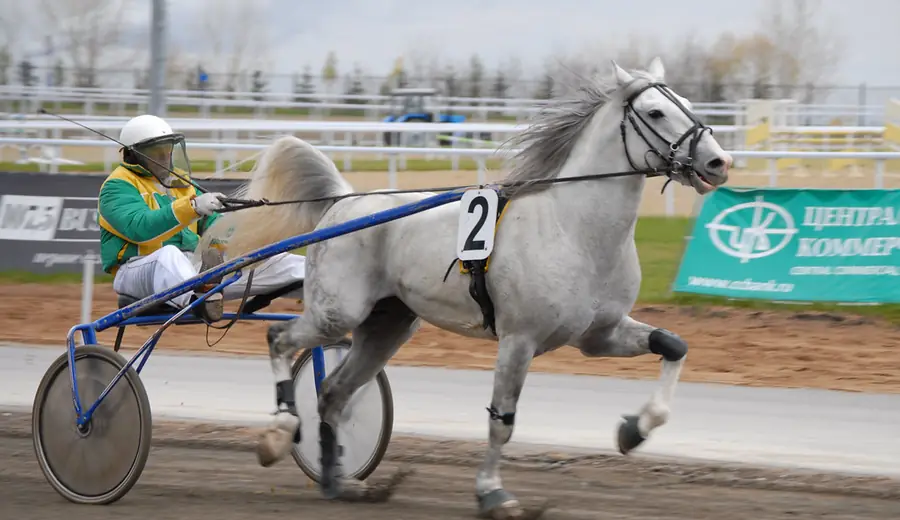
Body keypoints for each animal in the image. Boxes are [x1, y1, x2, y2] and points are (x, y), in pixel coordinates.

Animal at [201, 57, 732, 519]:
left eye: (687, 101)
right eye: (656, 111)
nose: (718, 162)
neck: (574, 229)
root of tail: (346, 203)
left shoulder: (599, 334)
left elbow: (673, 346)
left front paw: (634, 430)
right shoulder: (519, 340)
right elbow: (503, 421)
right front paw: (494, 494)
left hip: (387, 325)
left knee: (333, 393)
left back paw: (338, 482)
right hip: (338, 312)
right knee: (280, 339)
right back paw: (280, 431)